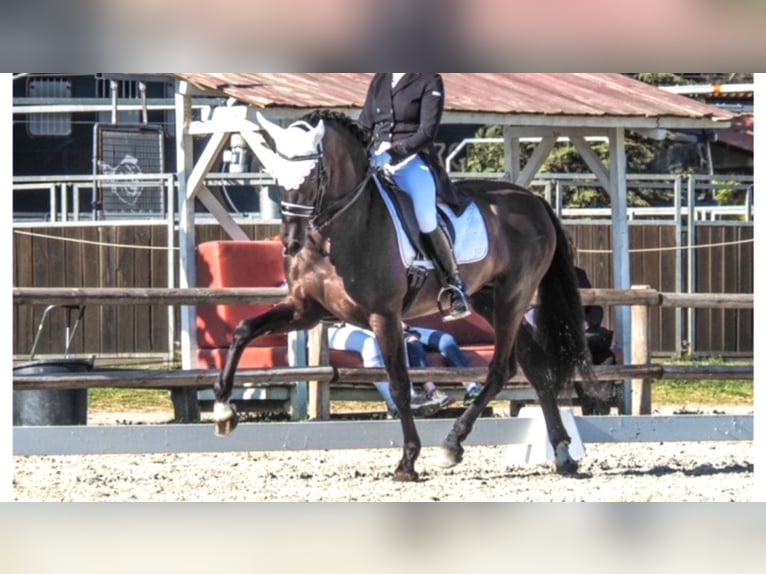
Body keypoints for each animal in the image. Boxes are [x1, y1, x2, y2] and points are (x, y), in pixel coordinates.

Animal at [214, 109, 600, 482]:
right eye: (277, 177)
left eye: (312, 176)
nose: (290, 242)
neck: (336, 235)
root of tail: (533, 200)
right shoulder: (305, 310)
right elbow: (244, 330)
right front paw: (223, 411)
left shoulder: (384, 317)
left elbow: (399, 384)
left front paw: (407, 462)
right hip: (490, 300)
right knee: (534, 365)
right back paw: (562, 453)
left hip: (512, 297)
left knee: (501, 369)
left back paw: (452, 445)